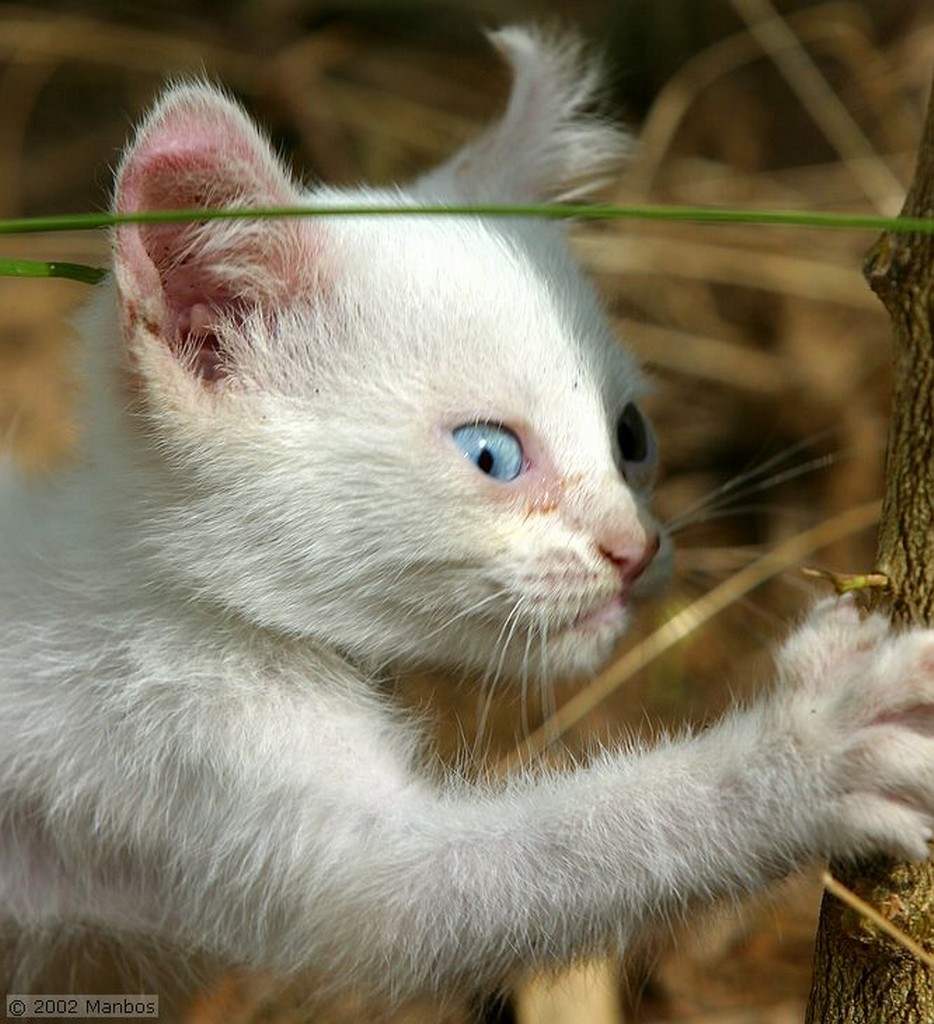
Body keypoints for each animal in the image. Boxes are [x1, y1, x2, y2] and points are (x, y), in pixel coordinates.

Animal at [1, 25, 934, 1007]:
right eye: (491, 455)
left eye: (631, 435)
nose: (636, 549)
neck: (151, 581)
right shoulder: (166, 734)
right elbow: (484, 877)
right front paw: (813, 749)